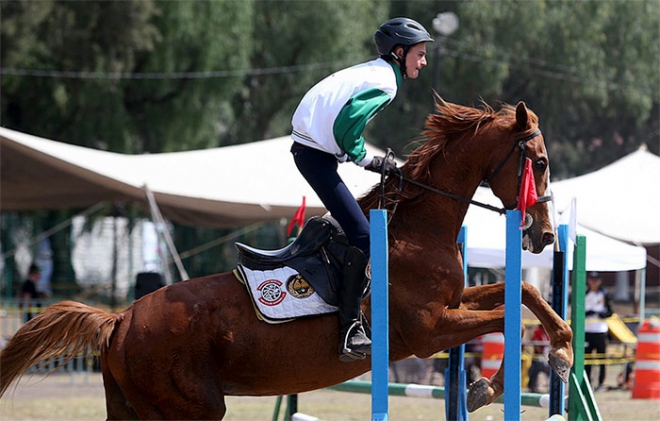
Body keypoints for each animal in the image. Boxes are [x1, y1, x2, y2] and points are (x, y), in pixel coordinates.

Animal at [0, 97, 572, 416]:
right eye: (540, 162)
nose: (545, 236)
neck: (417, 228)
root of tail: (119, 320)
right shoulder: (429, 330)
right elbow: (507, 316)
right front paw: (519, 374)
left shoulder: (454, 303)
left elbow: (523, 292)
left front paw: (550, 352)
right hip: (192, 409)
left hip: (131, 409)